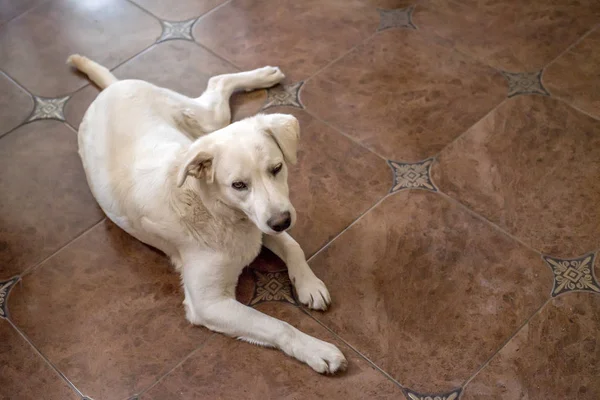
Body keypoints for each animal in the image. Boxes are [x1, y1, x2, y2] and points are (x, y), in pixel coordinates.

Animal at [67, 54, 346, 374]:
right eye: (238, 185)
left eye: (277, 168)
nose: (282, 222)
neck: (216, 210)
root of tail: (110, 89)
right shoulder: (209, 303)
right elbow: (278, 325)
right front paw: (316, 349)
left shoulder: (261, 224)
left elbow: (293, 246)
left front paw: (309, 283)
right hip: (206, 122)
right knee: (216, 82)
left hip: (206, 122)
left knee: (219, 81)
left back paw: (264, 75)